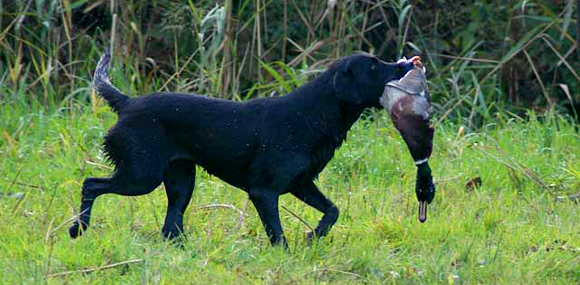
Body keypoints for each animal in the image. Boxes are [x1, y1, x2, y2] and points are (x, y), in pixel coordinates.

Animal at [70, 51, 416, 246]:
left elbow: (333, 210)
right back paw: (78, 229)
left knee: (170, 227)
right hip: (142, 176)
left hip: (181, 180)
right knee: (91, 184)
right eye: (374, 66)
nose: (406, 63)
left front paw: (313, 236)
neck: (313, 113)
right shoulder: (264, 191)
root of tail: (127, 103)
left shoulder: (301, 183)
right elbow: (277, 235)